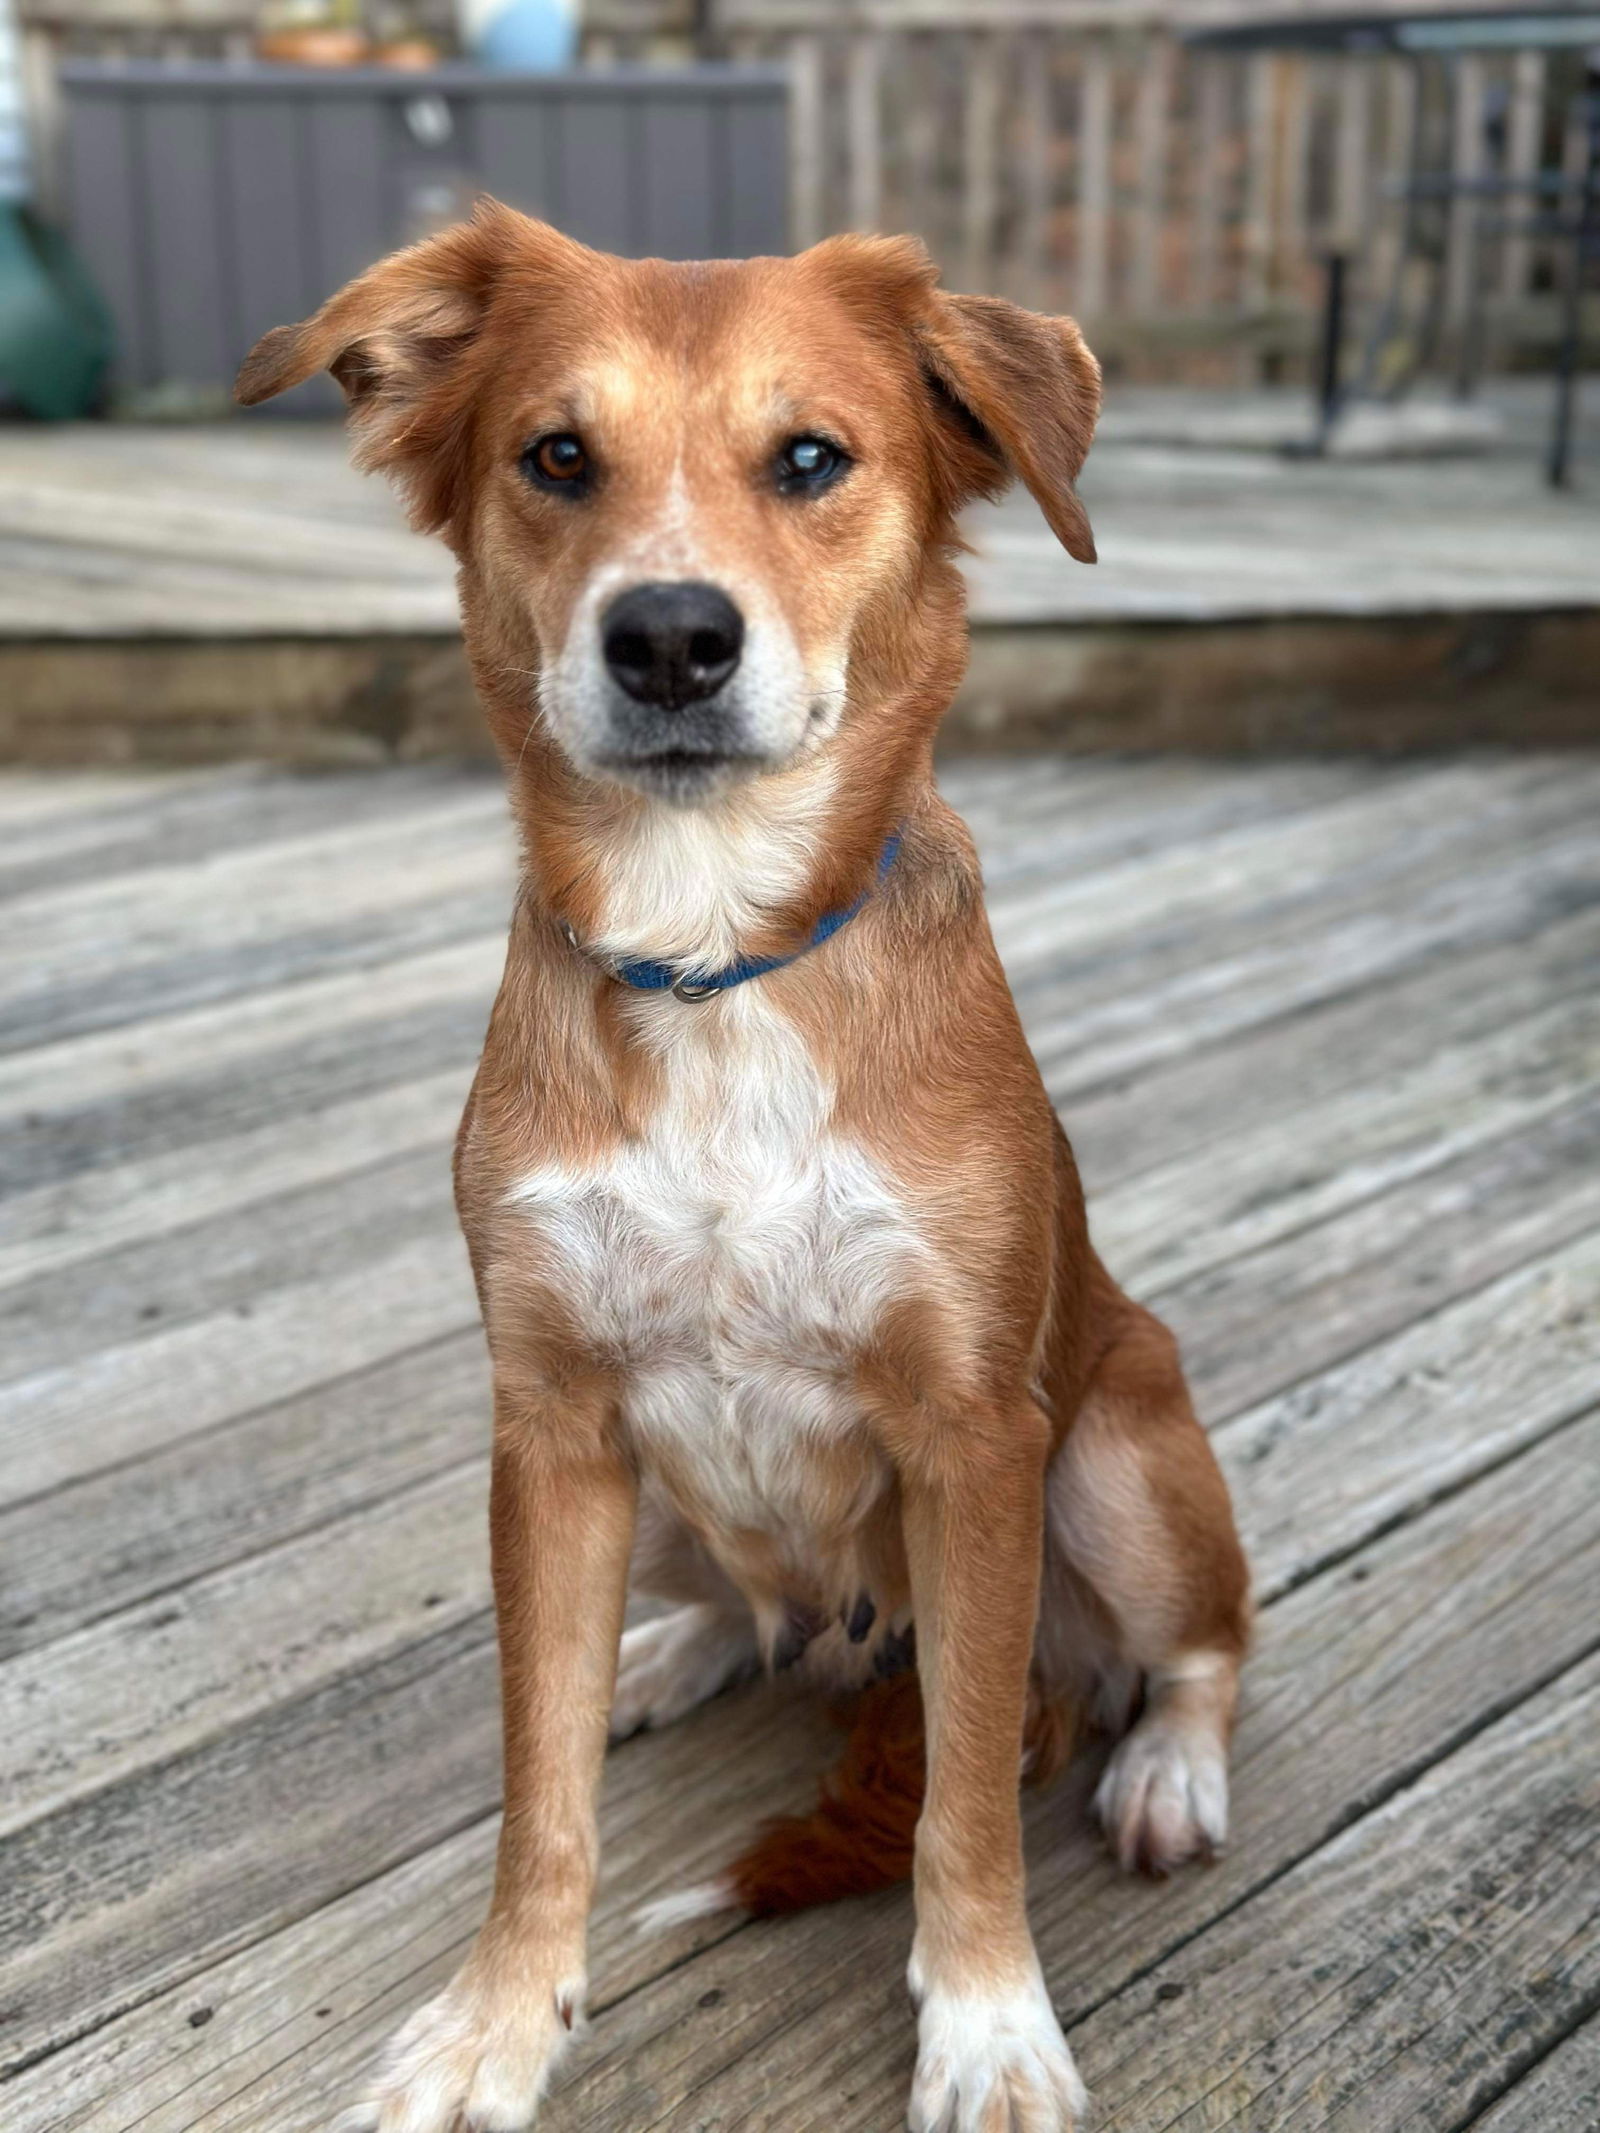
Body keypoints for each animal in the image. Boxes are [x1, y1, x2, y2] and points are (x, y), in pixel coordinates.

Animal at [237, 203, 1254, 2133]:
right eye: (558, 456)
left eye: (812, 460)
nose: (669, 638)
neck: (712, 956)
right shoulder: (550, 1426)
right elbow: (538, 1790)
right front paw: (496, 2021)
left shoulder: (974, 1440)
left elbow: (964, 1808)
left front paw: (988, 2024)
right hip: (651, 1498)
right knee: (729, 1601)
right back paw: (669, 1653)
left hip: (1120, 1447)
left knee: (1197, 1650)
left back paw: (1166, 1768)